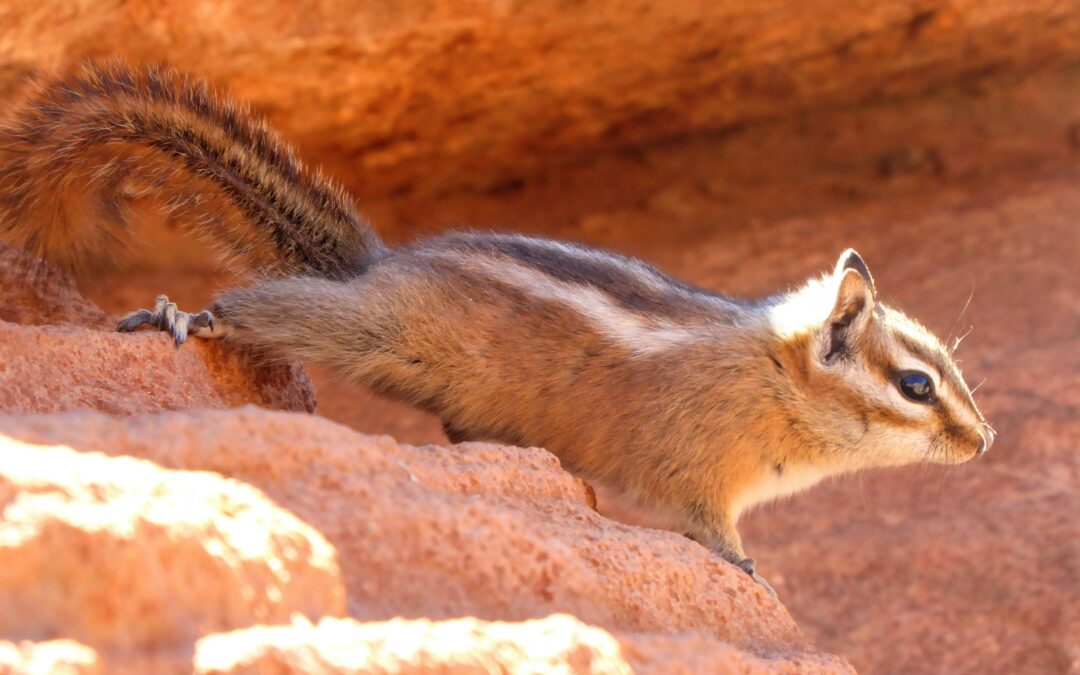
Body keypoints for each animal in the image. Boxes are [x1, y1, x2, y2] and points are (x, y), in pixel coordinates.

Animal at [0, 63, 994, 595]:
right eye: (915, 384)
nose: (984, 441)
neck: (773, 377)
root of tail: (376, 263)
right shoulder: (697, 469)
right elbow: (710, 529)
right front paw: (747, 569)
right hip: (372, 327)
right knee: (265, 308)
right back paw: (184, 313)